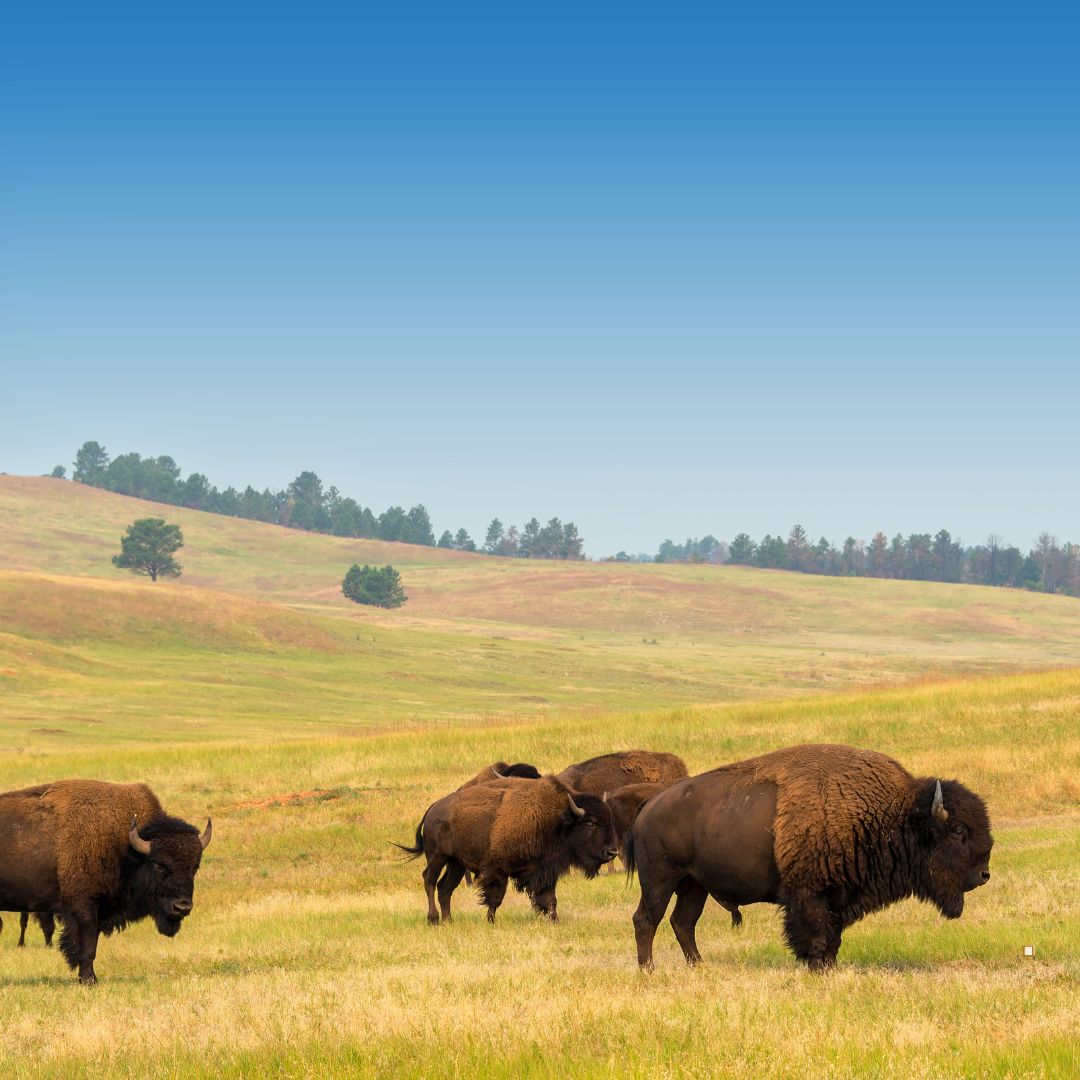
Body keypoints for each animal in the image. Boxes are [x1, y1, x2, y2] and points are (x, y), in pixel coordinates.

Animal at [0, 781, 212, 984]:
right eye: (158, 865)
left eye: (195, 867)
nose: (182, 908)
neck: (125, 846)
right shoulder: (84, 908)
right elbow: (87, 947)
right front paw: (89, 981)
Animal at [395, 773, 617, 924]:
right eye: (590, 823)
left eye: (610, 819)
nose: (612, 852)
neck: (557, 819)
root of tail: (432, 809)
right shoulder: (498, 871)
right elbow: (495, 899)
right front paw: (490, 922)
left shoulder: (545, 871)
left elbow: (550, 899)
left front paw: (555, 921)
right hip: (437, 857)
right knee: (429, 880)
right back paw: (433, 919)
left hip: (456, 863)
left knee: (444, 888)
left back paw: (449, 921)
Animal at [630, 743, 989, 972]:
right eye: (958, 831)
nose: (984, 874)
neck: (892, 813)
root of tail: (649, 805)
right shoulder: (809, 894)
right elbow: (816, 935)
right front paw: (818, 968)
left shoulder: (838, 897)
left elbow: (833, 937)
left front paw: (830, 967)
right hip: (659, 880)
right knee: (647, 920)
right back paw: (649, 971)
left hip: (695, 885)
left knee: (682, 923)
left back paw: (699, 968)